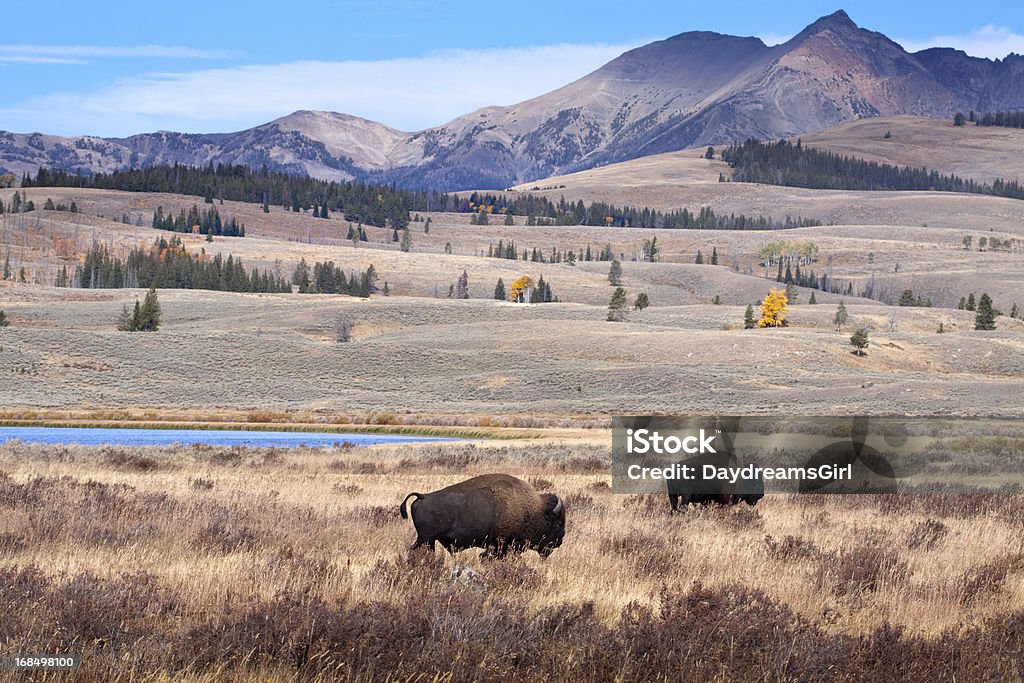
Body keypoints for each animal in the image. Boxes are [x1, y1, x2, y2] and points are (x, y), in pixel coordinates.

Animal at [397, 473, 565, 557]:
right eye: (558, 524)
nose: (560, 542)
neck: (533, 510)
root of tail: (423, 496)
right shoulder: (500, 545)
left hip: (428, 541)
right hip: (425, 539)